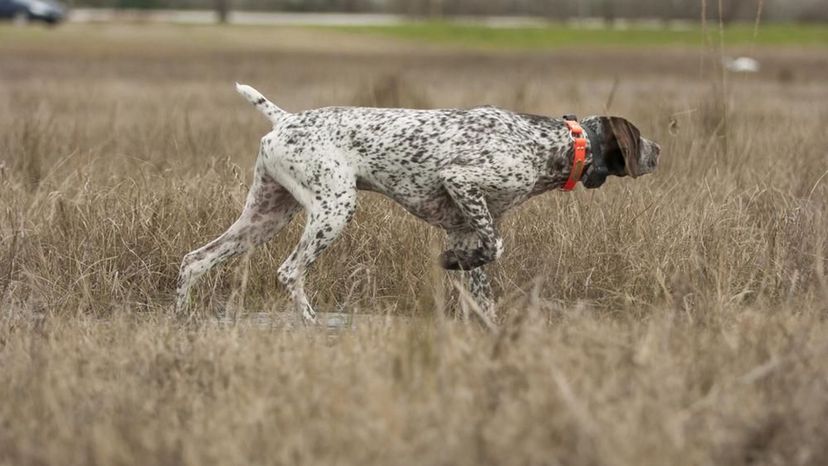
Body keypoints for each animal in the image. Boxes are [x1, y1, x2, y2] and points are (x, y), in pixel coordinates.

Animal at [175, 83, 660, 322]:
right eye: (640, 138)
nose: (658, 150)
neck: (555, 144)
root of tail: (286, 119)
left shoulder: (465, 227)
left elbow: (484, 289)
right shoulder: (461, 182)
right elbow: (496, 246)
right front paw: (450, 262)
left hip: (266, 215)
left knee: (195, 260)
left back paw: (181, 320)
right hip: (334, 208)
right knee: (289, 271)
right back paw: (312, 326)